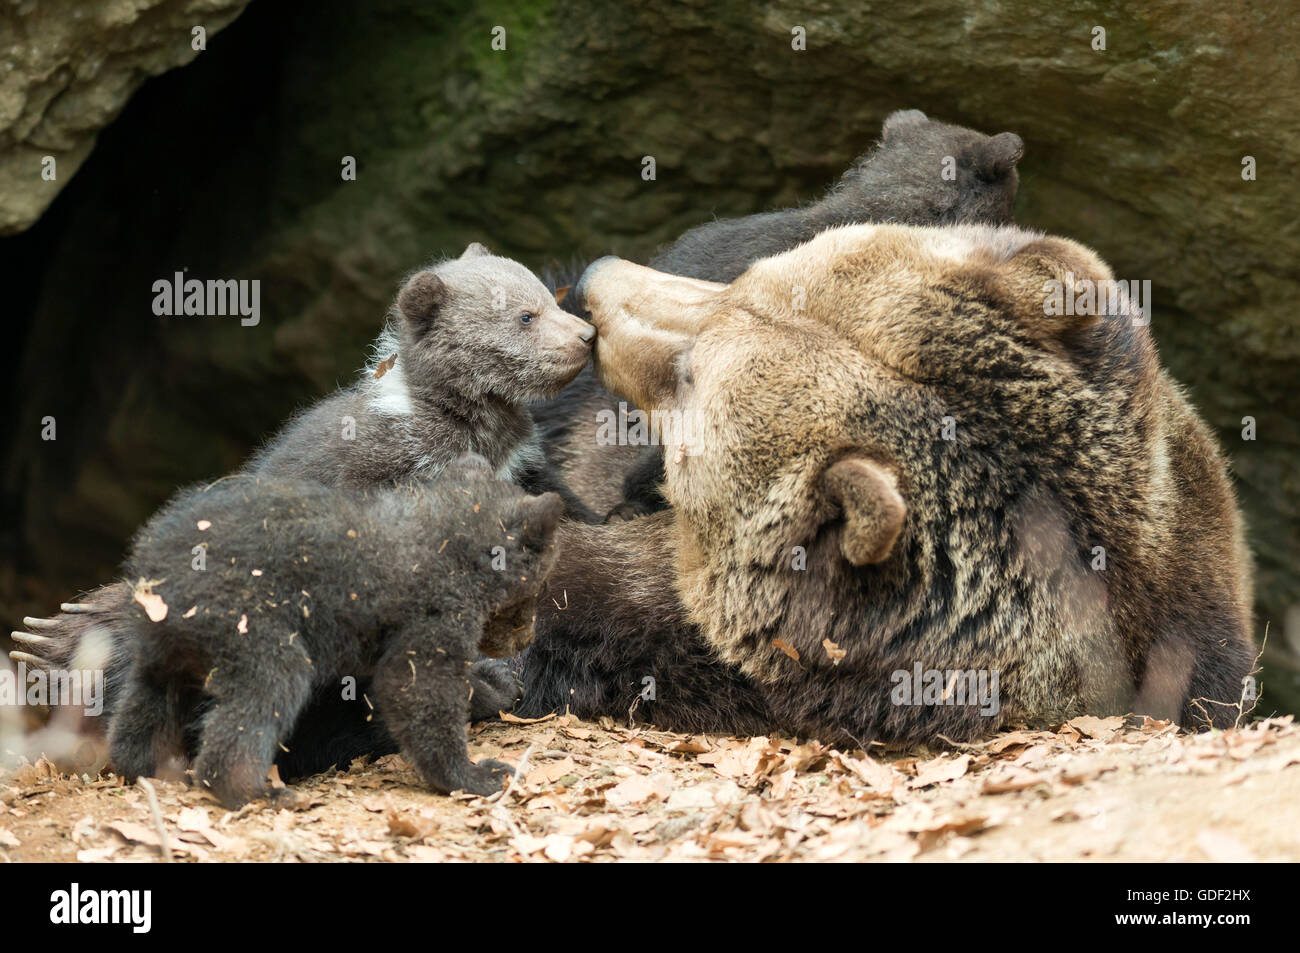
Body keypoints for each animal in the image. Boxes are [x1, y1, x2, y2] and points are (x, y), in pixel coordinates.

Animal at [106, 462, 563, 807]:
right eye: (539, 589)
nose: (527, 638)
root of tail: (152, 562)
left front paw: (498, 685)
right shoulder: (431, 616)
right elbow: (417, 690)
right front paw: (474, 774)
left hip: (166, 648)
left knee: (145, 705)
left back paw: (135, 768)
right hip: (252, 630)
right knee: (261, 698)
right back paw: (253, 791)